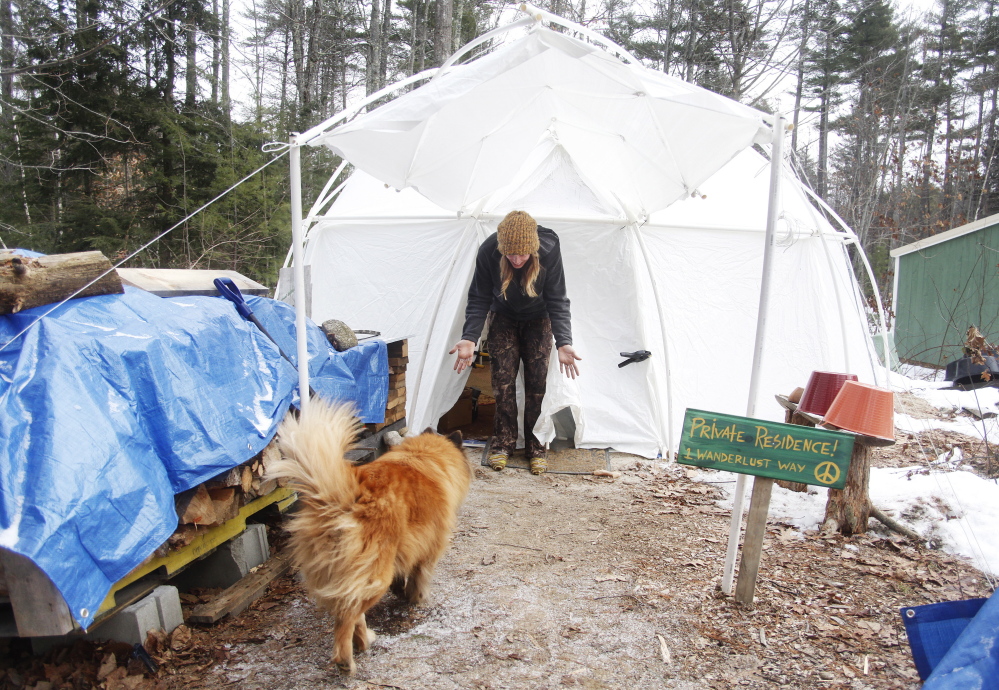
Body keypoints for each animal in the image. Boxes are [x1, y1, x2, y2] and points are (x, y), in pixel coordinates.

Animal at [270, 398, 472, 672]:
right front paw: (417, 599)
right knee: (347, 616)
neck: (425, 455)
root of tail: (342, 499)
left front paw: (402, 592)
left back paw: (364, 640)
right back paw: (347, 659)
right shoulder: (430, 549)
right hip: (374, 574)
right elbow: (419, 577)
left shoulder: (405, 547)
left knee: (352, 610)